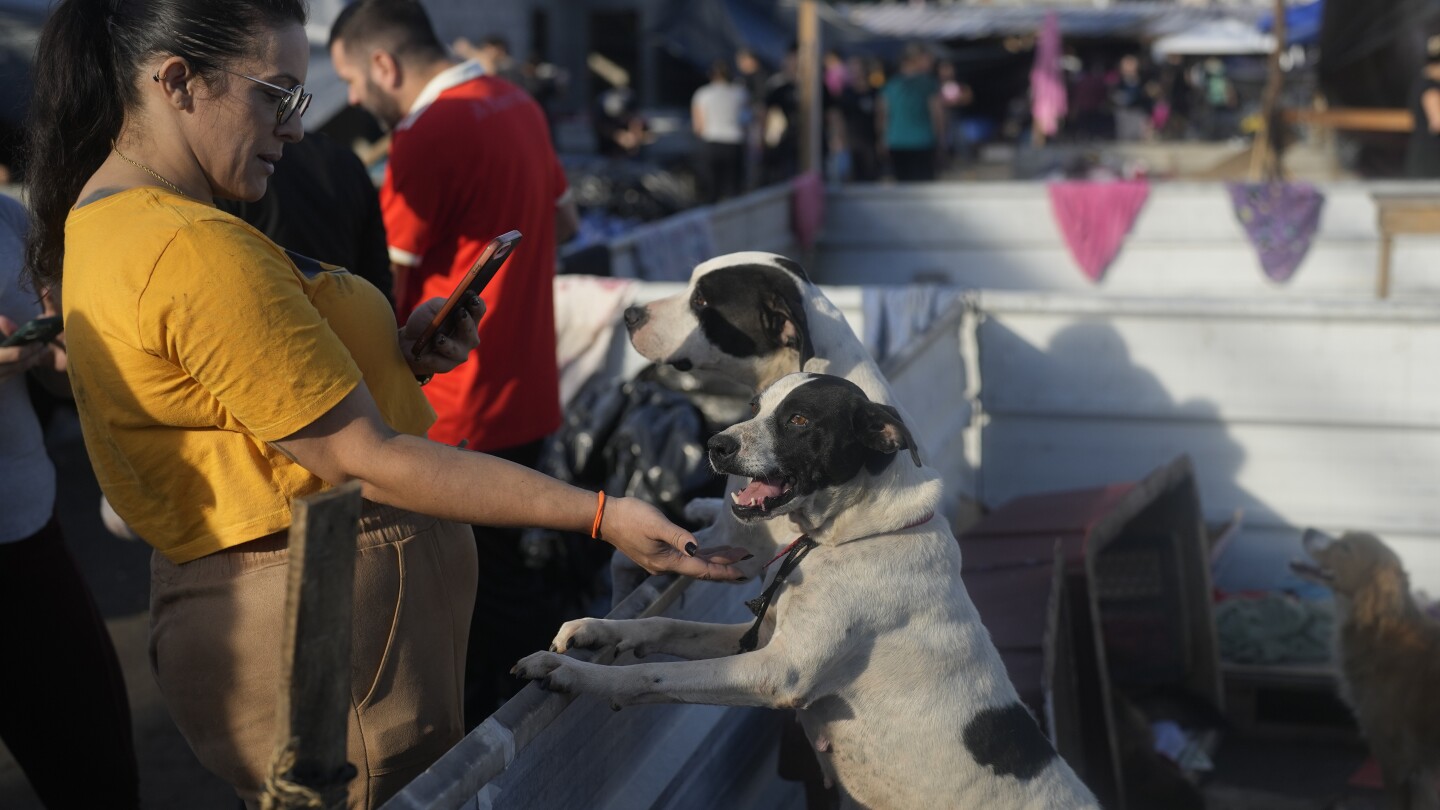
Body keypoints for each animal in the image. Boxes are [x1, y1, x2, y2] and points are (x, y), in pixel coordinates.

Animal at [515, 374, 1088, 807]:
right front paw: (596, 630)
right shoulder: (763, 634)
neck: (850, 535)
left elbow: (654, 676)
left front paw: (572, 674)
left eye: (798, 420)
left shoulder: (778, 671)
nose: (716, 445)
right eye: (754, 407)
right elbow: (662, 624)